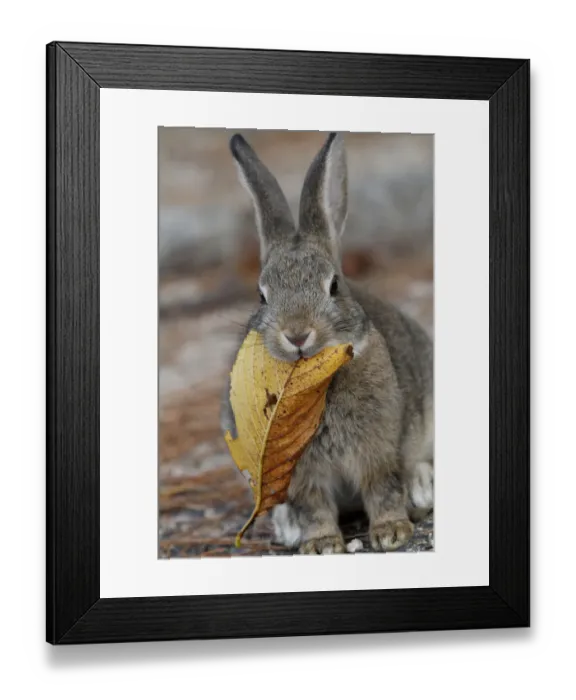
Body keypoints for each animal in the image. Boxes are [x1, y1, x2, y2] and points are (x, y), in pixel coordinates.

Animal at [220, 131, 434, 554]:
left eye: (333, 285)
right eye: (261, 296)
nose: (297, 334)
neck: (314, 380)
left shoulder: (378, 449)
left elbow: (382, 486)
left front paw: (391, 533)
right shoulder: (299, 474)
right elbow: (313, 506)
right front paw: (320, 544)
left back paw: (420, 492)